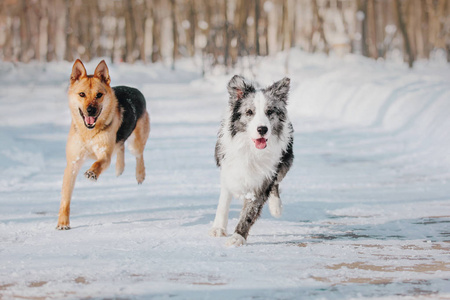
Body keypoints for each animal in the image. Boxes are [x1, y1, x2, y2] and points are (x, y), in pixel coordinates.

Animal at [56, 60, 150, 230]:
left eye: (99, 95)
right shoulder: (72, 163)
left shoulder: (104, 154)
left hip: (136, 142)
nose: (91, 110)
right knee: (120, 147)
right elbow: (65, 197)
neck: (89, 133)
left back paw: (140, 174)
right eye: (82, 94)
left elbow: (98, 163)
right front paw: (63, 223)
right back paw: (120, 168)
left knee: (138, 155)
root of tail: (135, 90)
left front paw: (92, 173)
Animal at [209, 74, 294, 246]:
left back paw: (276, 208)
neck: (251, 149)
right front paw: (218, 228)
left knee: (276, 184)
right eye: (249, 112)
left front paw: (237, 237)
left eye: (270, 111)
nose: (262, 129)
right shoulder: (228, 169)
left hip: (285, 163)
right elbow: (223, 201)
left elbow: (250, 212)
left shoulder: (263, 179)